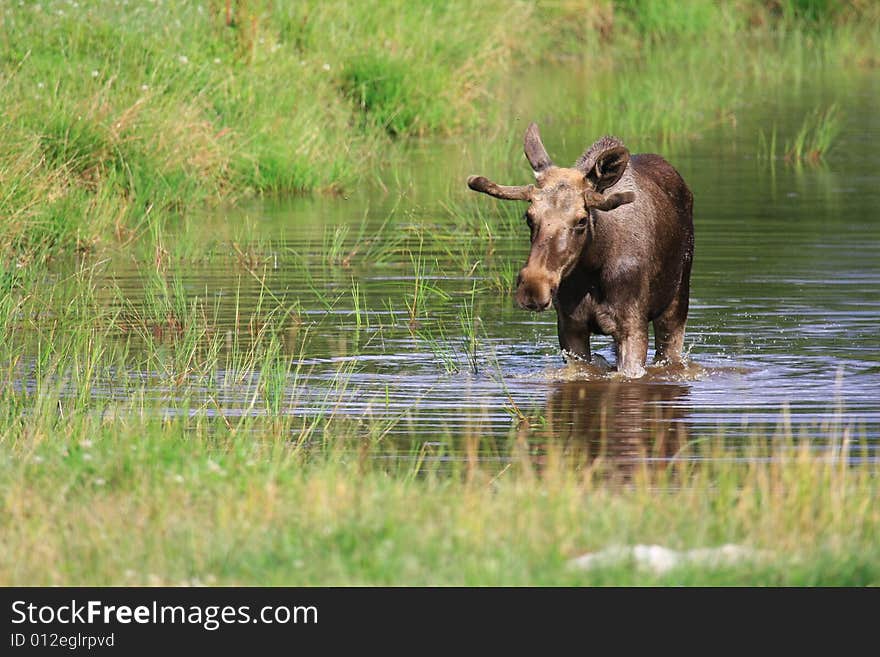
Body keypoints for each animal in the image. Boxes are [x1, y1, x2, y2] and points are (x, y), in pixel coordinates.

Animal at [468, 123, 696, 376]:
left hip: (676, 306)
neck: (593, 267)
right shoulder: (570, 327)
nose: (533, 287)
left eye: (581, 220)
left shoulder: (632, 326)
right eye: (529, 217)